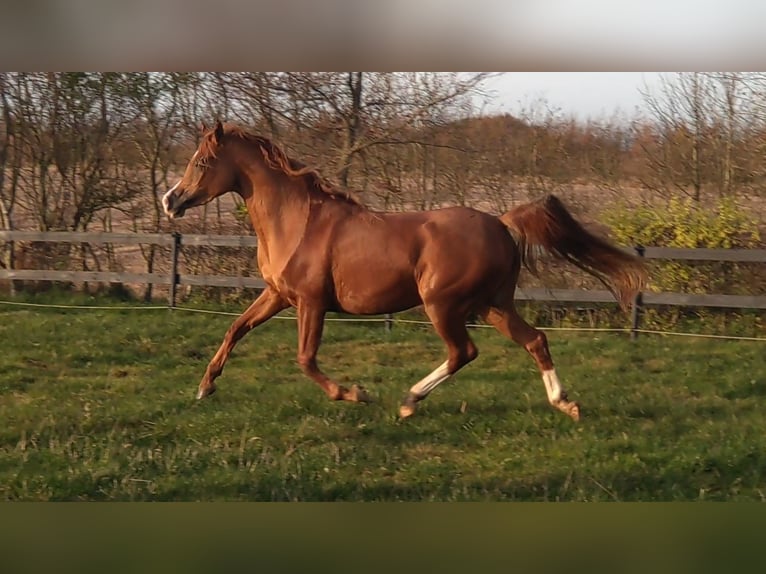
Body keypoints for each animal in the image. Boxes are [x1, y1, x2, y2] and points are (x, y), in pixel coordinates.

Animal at [164, 121, 648, 420]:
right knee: (534, 340)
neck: (298, 221)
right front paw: (205, 387)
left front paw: (355, 393)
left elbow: (305, 359)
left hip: (443, 304)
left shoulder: (311, 302)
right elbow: (235, 330)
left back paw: (408, 401)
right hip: (491, 304)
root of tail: (502, 223)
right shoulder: (279, 295)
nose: (171, 201)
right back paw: (565, 404)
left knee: (463, 352)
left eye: (201, 163)